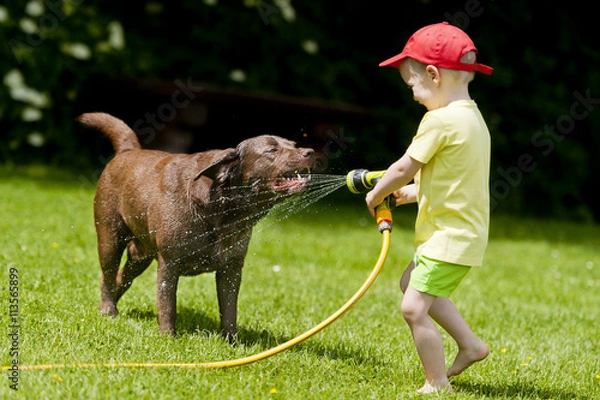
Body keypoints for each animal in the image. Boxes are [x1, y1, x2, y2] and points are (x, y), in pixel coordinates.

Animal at [79, 111, 318, 340]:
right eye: (271, 150)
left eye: (294, 145)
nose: (309, 152)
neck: (222, 208)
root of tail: (127, 151)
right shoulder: (169, 263)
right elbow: (167, 304)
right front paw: (168, 338)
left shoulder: (231, 268)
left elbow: (229, 310)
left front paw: (232, 343)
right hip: (110, 238)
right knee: (107, 275)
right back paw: (108, 310)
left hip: (141, 255)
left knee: (122, 277)